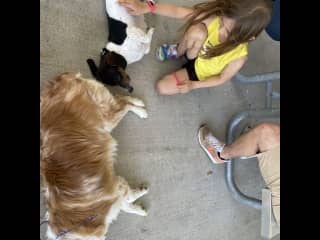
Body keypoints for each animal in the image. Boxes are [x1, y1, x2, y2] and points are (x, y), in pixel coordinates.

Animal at [40, 73, 149, 240]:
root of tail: (58, 80)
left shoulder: (115, 186)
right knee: (120, 99)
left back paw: (141, 110)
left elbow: (129, 197)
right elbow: (126, 205)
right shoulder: (114, 197)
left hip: (106, 116)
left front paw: (141, 192)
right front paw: (139, 209)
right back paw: (139, 103)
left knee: (123, 103)